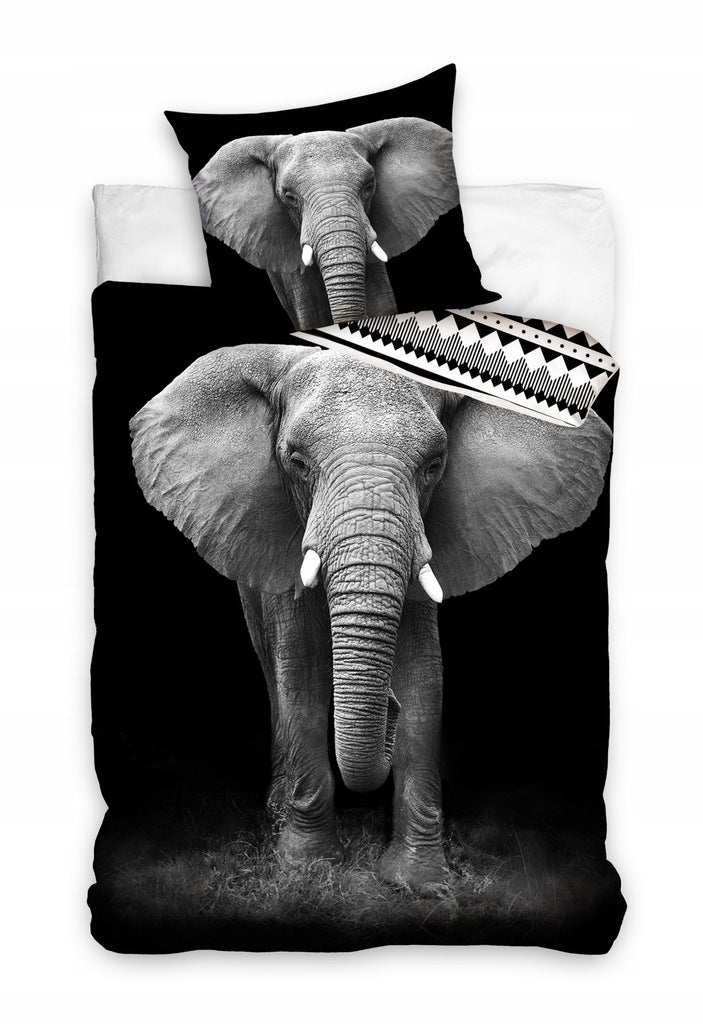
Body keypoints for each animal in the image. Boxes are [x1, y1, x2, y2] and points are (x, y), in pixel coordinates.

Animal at [130, 344, 612, 892]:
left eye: (434, 465)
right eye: (297, 462)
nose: (388, 708)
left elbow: (424, 680)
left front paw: (420, 883)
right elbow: (302, 677)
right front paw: (307, 868)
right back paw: (277, 811)